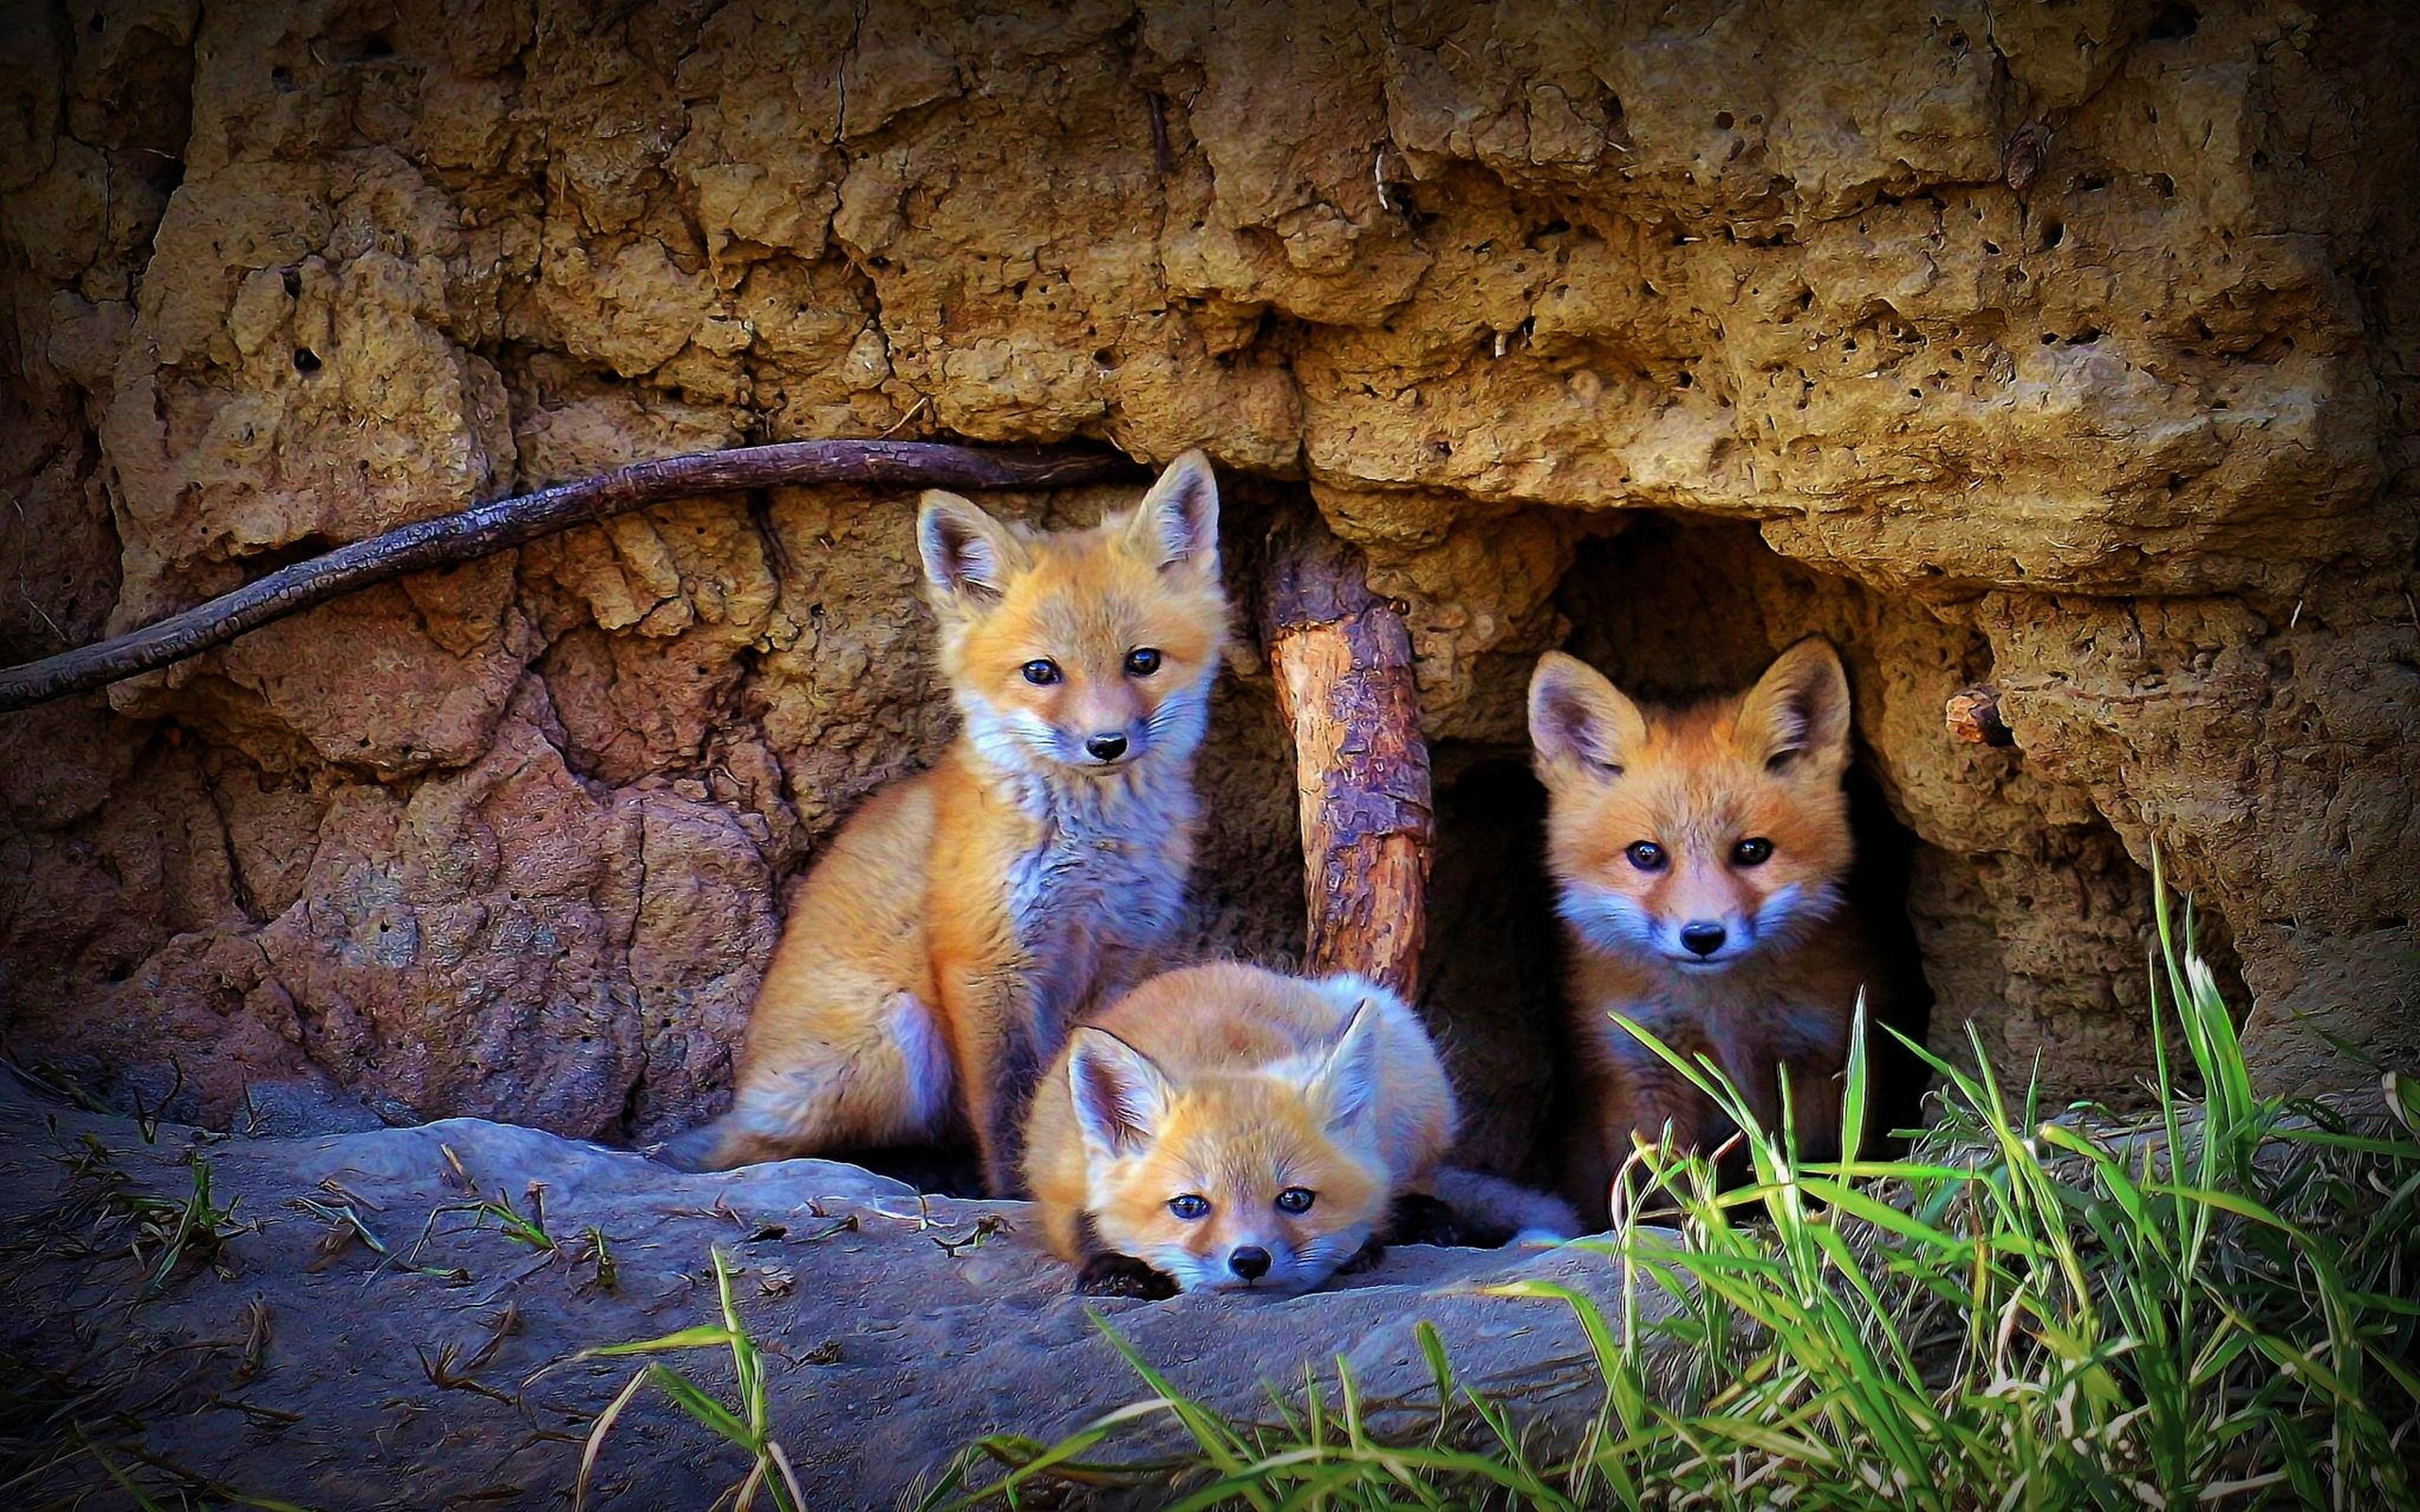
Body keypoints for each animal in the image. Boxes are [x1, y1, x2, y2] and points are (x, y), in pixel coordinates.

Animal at [658, 450, 1230, 1195]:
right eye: (1041, 672)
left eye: (1143, 661)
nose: (1107, 744)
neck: (1094, 850)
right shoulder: (984, 962)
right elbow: (1011, 1101)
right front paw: (1020, 1195)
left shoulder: (1121, 954)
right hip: (895, 1038)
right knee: (763, 1148)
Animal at [1023, 961, 1579, 1298]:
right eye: (1189, 1206)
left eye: (1295, 1199)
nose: (1250, 1261)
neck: (1219, 1056)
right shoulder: (1057, 1174)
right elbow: (1084, 1226)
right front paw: (1118, 1268)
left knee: (1414, 1181)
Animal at [1527, 636, 1884, 1227]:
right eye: (1646, 855)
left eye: (1752, 851)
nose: (1702, 936)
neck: (1722, 1016)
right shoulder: (1642, 1067)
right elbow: (1662, 1192)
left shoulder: (1815, 1057)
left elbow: (1816, 1166)